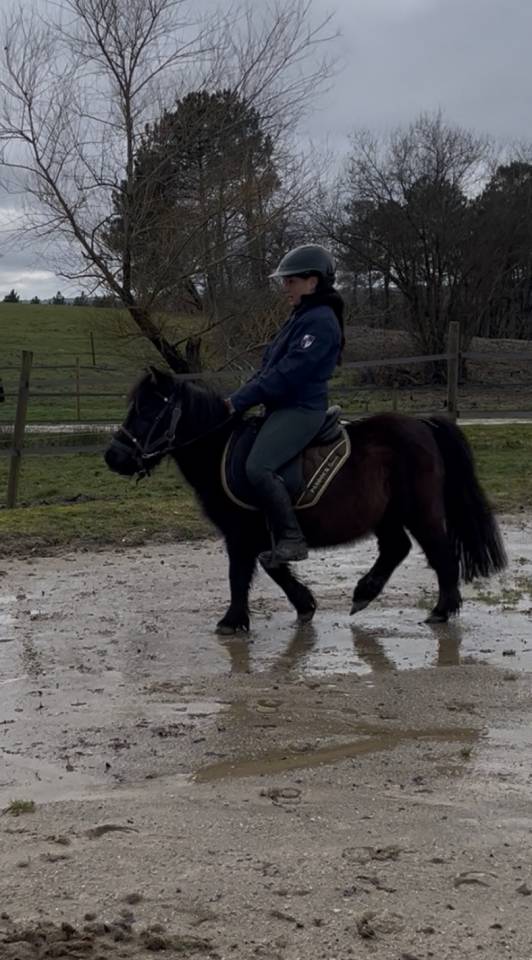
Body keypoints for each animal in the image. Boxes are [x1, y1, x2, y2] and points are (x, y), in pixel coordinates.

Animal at [104, 367, 507, 634]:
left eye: (148, 410)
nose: (113, 456)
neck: (218, 451)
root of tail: (423, 424)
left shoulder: (241, 532)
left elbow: (241, 573)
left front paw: (232, 621)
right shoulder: (260, 534)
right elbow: (272, 568)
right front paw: (304, 604)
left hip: (419, 511)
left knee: (440, 553)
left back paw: (441, 610)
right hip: (387, 514)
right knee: (396, 548)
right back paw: (365, 593)